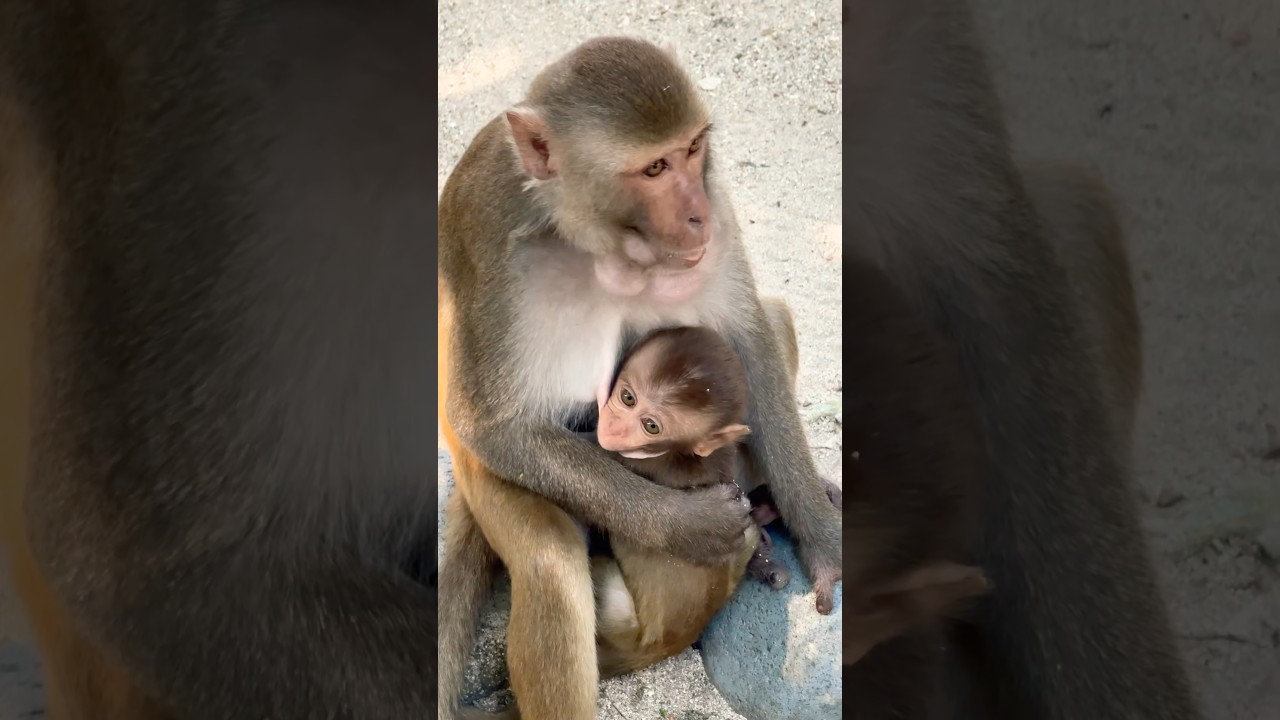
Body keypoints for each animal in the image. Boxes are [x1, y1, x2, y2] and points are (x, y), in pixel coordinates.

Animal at [437, 36, 841, 720]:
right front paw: (686, 527)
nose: (700, 217)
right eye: (653, 170)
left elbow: (747, 334)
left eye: (692, 150)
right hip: (479, 479)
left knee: (773, 317)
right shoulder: (490, 235)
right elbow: (495, 425)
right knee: (550, 564)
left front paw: (823, 541)